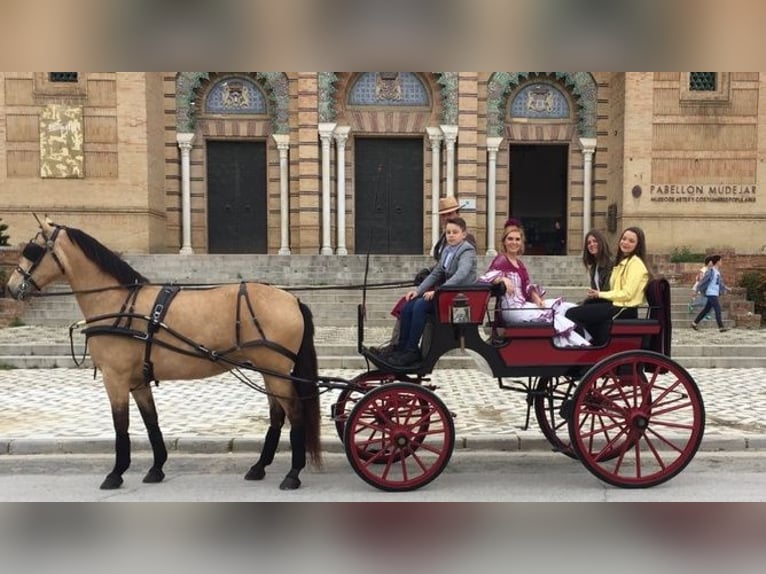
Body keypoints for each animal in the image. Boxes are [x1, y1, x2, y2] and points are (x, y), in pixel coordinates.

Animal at [5, 218, 320, 492]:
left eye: (33, 250)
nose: (10, 287)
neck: (120, 302)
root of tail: (292, 298)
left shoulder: (115, 378)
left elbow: (121, 425)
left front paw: (116, 473)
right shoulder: (138, 381)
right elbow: (151, 421)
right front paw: (156, 468)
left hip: (276, 372)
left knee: (296, 415)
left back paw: (293, 473)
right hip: (269, 371)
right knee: (278, 415)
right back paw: (259, 467)